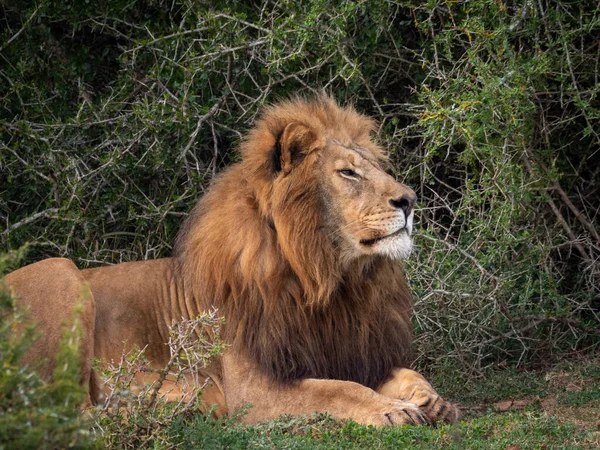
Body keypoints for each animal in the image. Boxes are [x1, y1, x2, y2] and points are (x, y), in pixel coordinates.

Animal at [2, 95, 460, 426]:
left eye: (373, 167)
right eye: (348, 173)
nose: (410, 200)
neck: (327, 281)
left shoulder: (352, 351)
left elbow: (405, 374)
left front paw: (432, 400)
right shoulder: (255, 389)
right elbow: (335, 390)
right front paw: (391, 409)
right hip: (60, 271)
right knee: (69, 414)